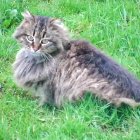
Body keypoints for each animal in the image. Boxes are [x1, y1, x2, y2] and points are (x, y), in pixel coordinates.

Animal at [12, 10, 140, 107]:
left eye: (44, 41)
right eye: (30, 38)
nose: (35, 48)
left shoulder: (48, 85)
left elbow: (46, 99)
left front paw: (39, 106)